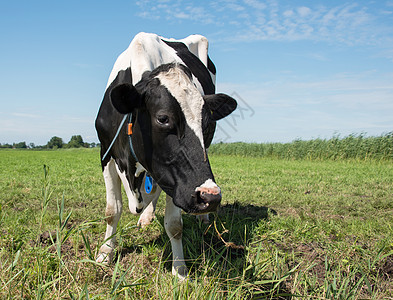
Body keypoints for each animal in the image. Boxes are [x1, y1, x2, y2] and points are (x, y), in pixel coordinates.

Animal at [95, 32, 236, 278]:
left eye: (207, 123)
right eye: (163, 118)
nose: (210, 197)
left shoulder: (177, 178)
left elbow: (175, 225)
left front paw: (179, 270)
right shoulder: (106, 153)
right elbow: (112, 211)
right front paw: (105, 253)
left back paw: (200, 218)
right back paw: (145, 217)